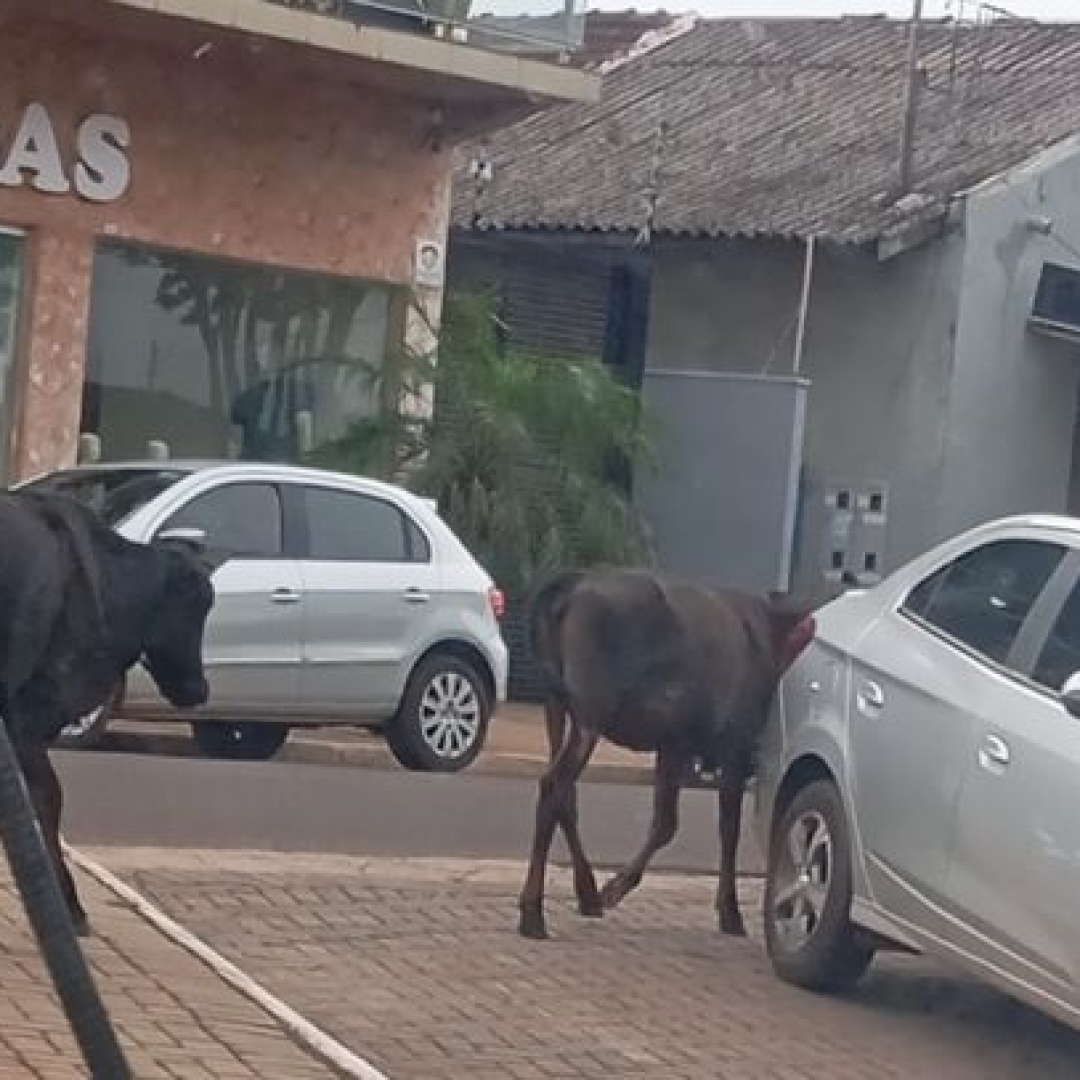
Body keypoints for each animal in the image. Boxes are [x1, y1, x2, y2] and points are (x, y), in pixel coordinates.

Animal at [518, 570, 812, 941]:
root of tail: (569, 584)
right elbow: (724, 829)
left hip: (556, 704)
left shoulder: (673, 744)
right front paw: (729, 911)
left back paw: (585, 893)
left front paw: (610, 889)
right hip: (591, 712)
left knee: (564, 795)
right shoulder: (734, 746)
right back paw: (534, 911)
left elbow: (664, 822)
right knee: (554, 785)